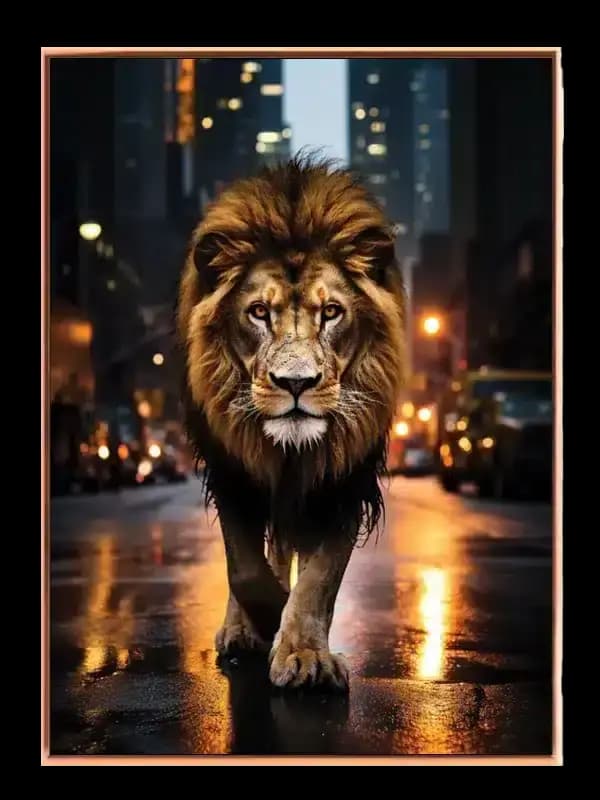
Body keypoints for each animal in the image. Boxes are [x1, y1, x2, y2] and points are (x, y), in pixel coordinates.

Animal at [177, 156, 406, 691]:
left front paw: (304, 653)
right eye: (259, 312)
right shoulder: (231, 468)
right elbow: (244, 566)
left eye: (331, 312)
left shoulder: (345, 478)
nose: (296, 382)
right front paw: (264, 622)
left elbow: (322, 575)